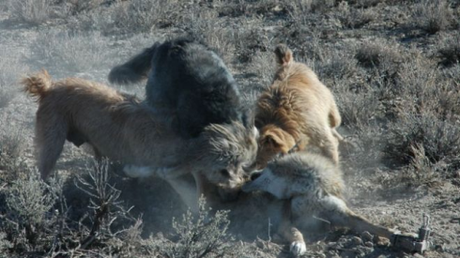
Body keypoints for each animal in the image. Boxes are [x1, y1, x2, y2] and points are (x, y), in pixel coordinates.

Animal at [23, 70, 256, 210]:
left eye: (242, 164)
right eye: (225, 169)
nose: (239, 188)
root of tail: (49, 87)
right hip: (52, 143)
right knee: (43, 169)